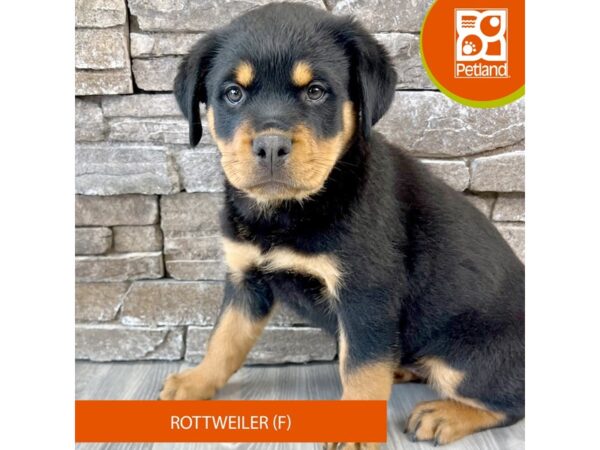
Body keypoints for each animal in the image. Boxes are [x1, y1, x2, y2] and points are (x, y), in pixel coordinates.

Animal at [159, 3, 525, 448]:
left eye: (316, 91)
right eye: (233, 93)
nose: (270, 146)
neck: (287, 212)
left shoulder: (365, 294)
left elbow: (360, 368)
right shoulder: (246, 280)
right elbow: (224, 339)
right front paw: (194, 382)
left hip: (463, 358)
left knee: (508, 401)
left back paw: (444, 414)